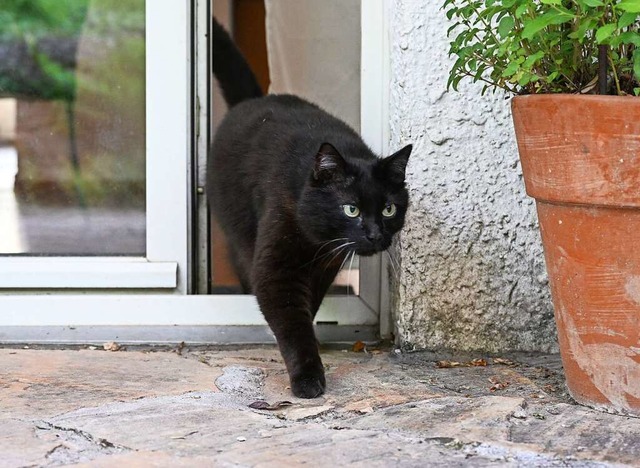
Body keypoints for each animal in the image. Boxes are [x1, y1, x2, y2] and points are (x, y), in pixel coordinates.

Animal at [208, 19, 412, 398]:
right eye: (351, 210)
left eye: (389, 210)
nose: (375, 234)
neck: (316, 241)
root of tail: (255, 100)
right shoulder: (278, 266)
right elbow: (291, 321)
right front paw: (307, 377)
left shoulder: (327, 264)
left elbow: (308, 307)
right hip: (239, 229)